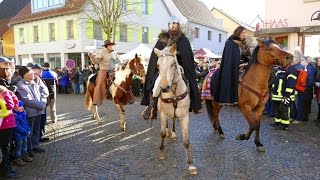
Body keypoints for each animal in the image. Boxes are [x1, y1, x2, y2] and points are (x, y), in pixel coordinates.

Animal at [153, 44, 196, 174]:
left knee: (172, 120)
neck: (173, 93)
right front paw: (161, 153)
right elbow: (162, 133)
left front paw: (190, 164)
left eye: (173, 64)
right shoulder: (162, 113)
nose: (164, 88)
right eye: (158, 65)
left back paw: (172, 133)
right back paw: (169, 132)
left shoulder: (184, 116)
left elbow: (186, 141)